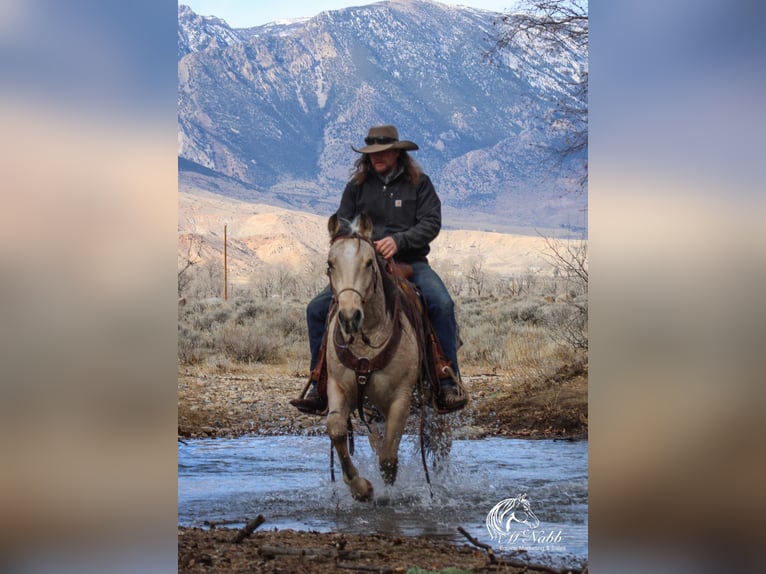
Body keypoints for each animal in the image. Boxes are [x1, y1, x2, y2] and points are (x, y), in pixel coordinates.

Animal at [324, 214, 450, 502]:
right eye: (330, 264)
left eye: (369, 263)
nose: (349, 317)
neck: (366, 340)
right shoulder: (338, 386)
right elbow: (336, 429)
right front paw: (360, 488)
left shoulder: (400, 397)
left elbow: (389, 460)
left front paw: (388, 494)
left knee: (441, 444)